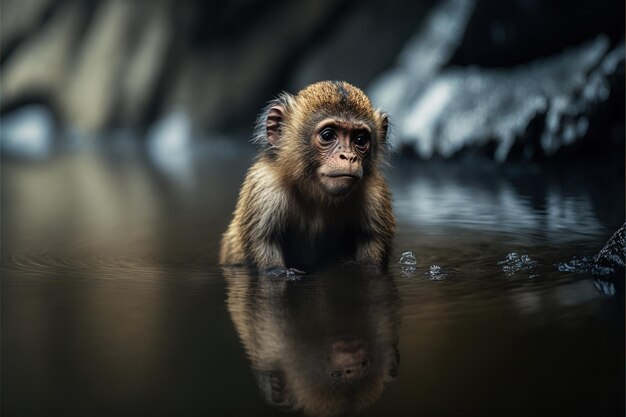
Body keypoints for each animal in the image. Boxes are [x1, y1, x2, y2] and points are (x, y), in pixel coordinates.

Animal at [219, 79, 394, 272]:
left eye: (360, 140)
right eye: (328, 135)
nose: (348, 157)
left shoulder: (376, 195)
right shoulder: (265, 187)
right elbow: (269, 259)